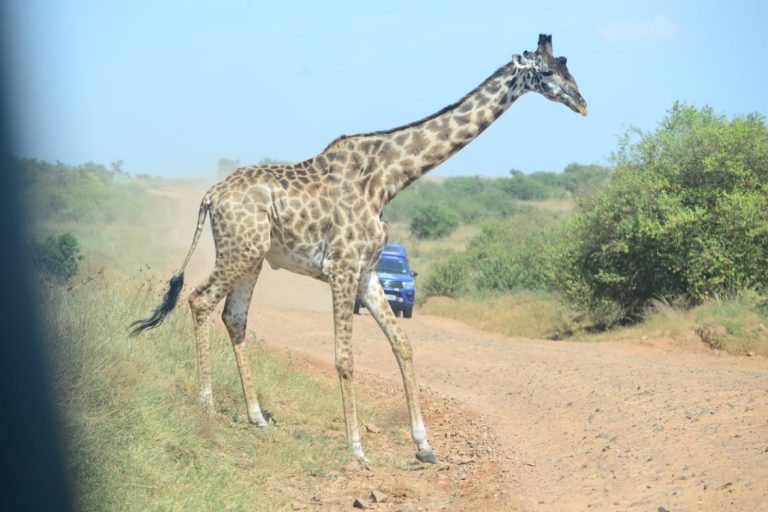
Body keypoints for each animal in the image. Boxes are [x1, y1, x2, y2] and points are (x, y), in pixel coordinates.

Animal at [131, 34, 587, 464]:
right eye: (548, 71)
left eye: (568, 67)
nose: (582, 104)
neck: (389, 178)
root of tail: (210, 195)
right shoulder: (342, 267)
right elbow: (345, 357)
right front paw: (356, 448)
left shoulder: (367, 272)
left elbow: (403, 344)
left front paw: (424, 446)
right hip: (238, 249)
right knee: (200, 300)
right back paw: (207, 405)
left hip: (254, 256)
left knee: (234, 316)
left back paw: (257, 417)